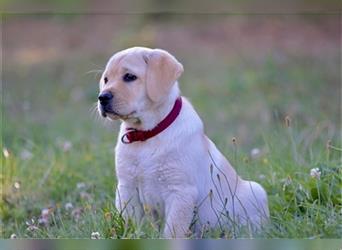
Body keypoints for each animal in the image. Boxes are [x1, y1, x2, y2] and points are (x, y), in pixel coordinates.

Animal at [97, 47, 268, 238]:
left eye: (129, 77)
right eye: (106, 79)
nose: (102, 97)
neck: (147, 135)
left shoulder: (180, 191)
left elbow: (172, 230)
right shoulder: (127, 187)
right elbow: (131, 223)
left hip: (257, 192)